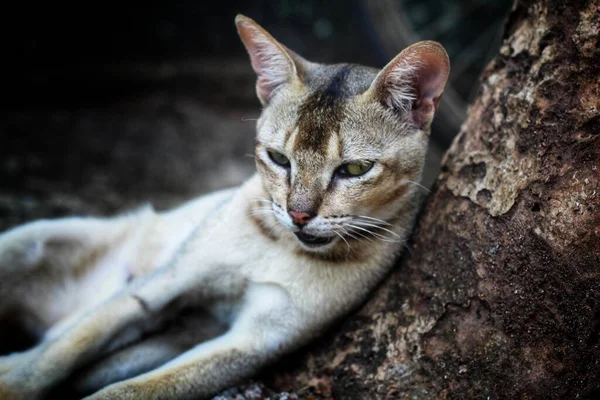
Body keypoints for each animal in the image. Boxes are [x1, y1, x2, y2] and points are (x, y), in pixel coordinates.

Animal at [0, 13, 446, 400]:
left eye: (355, 168)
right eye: (278, 158)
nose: (299, 215)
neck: (279, 245)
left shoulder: (256, 341)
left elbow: (134, 389)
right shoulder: (167, 281)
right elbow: (66, 349)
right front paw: (14, 385)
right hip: (24, 242)